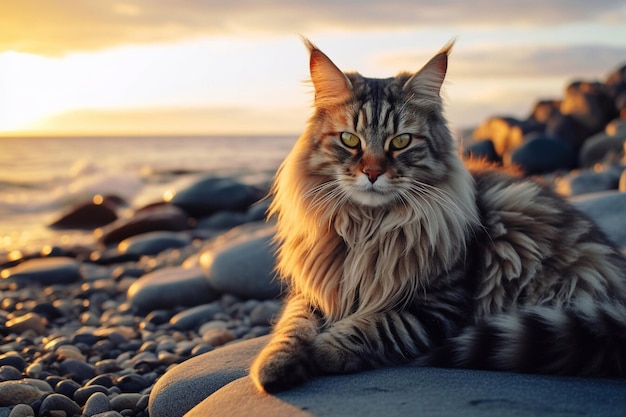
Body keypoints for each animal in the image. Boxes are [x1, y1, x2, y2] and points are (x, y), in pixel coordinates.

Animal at [249, 37, 624, 392]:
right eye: (349, 140)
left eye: (400, 141)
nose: (372, 173)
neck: (368, 227)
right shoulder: (311, 291)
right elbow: (292, 327)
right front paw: (274, 366)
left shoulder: (437, 308)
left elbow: (377, 326)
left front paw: (323, 350)